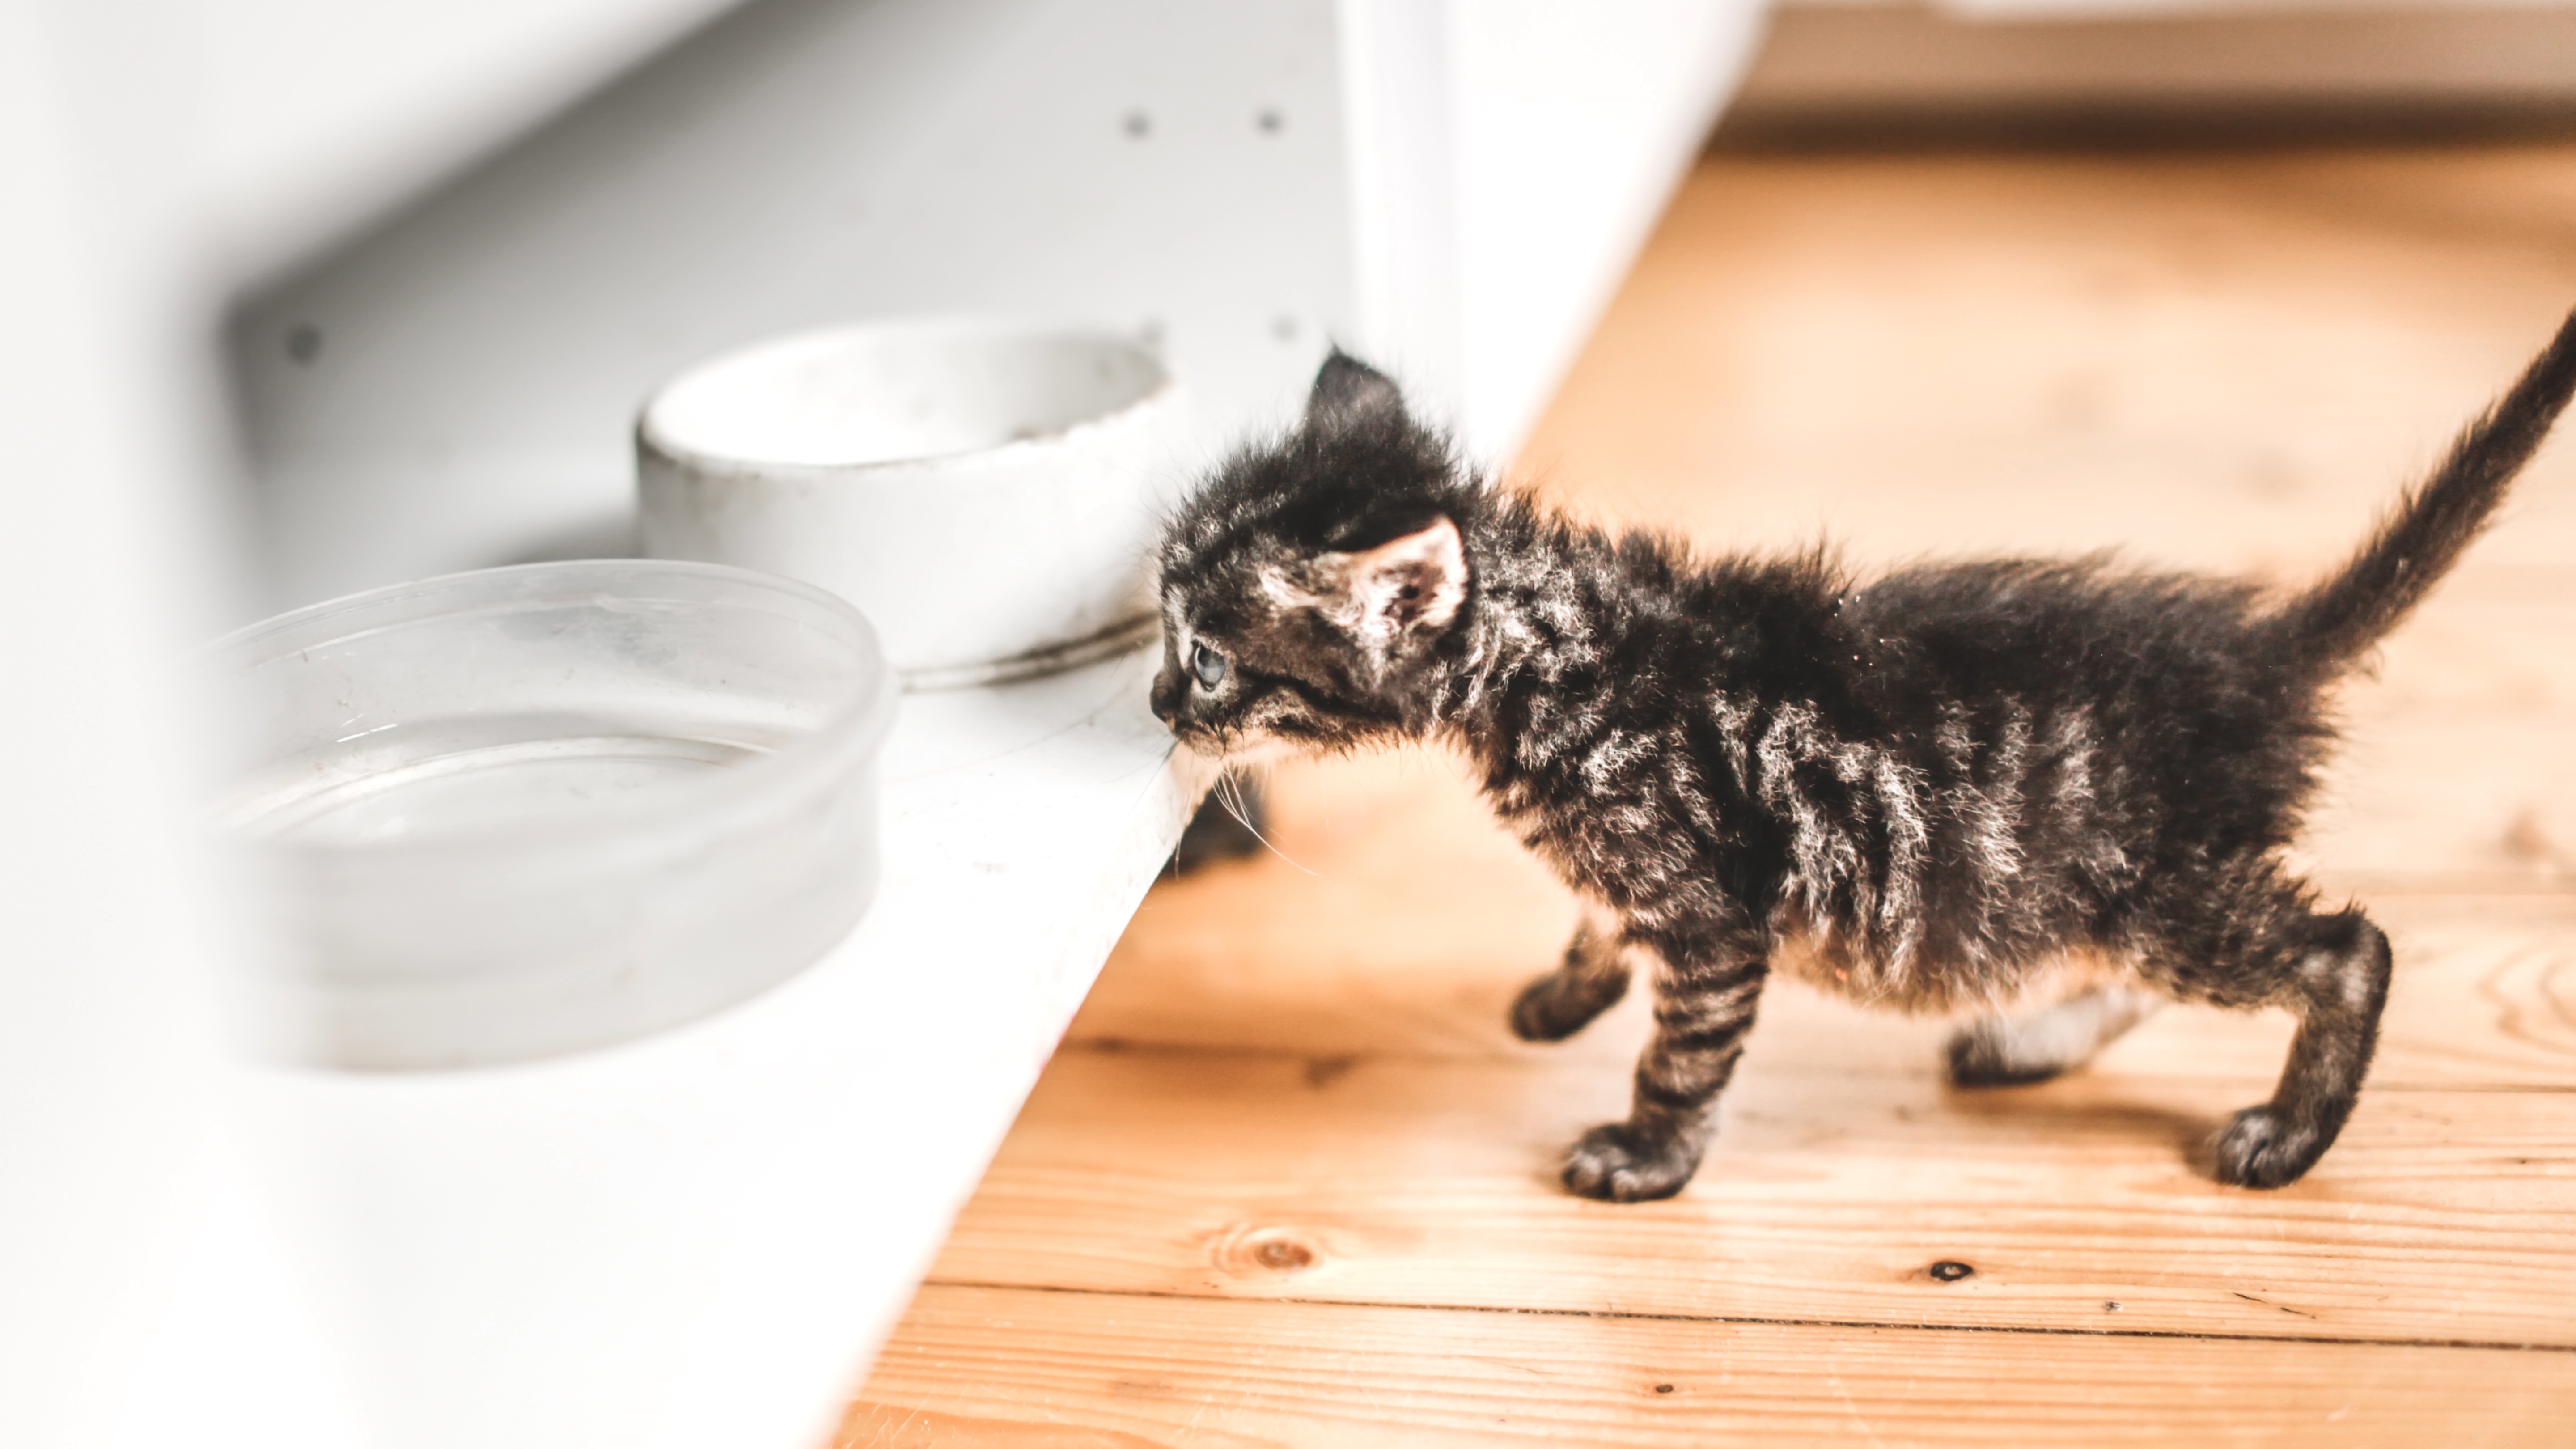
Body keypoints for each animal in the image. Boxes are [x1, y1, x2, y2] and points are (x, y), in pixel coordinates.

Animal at [1154, 316, 2576, 1196]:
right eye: (1161, 626)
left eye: (1208, 657)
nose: (1161, 700)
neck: (1560, 662)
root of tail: (2263, 657)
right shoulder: (1640, 877)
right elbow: (1594, 924)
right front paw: (1561, 995)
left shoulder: (1713, 915)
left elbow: (1680, 1055)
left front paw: (1644, 1157)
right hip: (2104, 891)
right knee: (2146, 972)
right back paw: (2030, 1043)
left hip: (2154, 888)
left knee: (2346, 951)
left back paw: (2285, 1129)